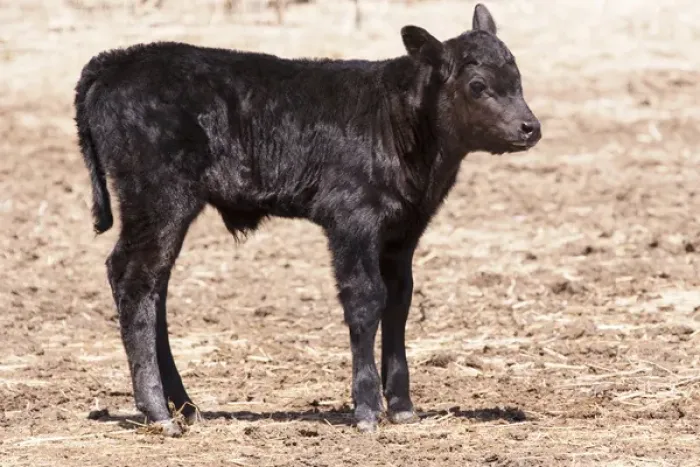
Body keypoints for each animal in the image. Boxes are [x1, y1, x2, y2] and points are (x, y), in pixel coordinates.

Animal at [74, 3, 541, 436]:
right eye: (477, 86)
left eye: (518, 78)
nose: (530, 127)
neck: (397, 121)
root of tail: (117, 60)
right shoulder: (351, 219)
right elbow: (365, 299)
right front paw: (367, 408)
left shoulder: (403, 230)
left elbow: (399, 301)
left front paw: (403, 406)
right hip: (158, 198)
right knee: (134, 279)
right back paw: (158, 412)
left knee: (155, 285)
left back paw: (186, 407)